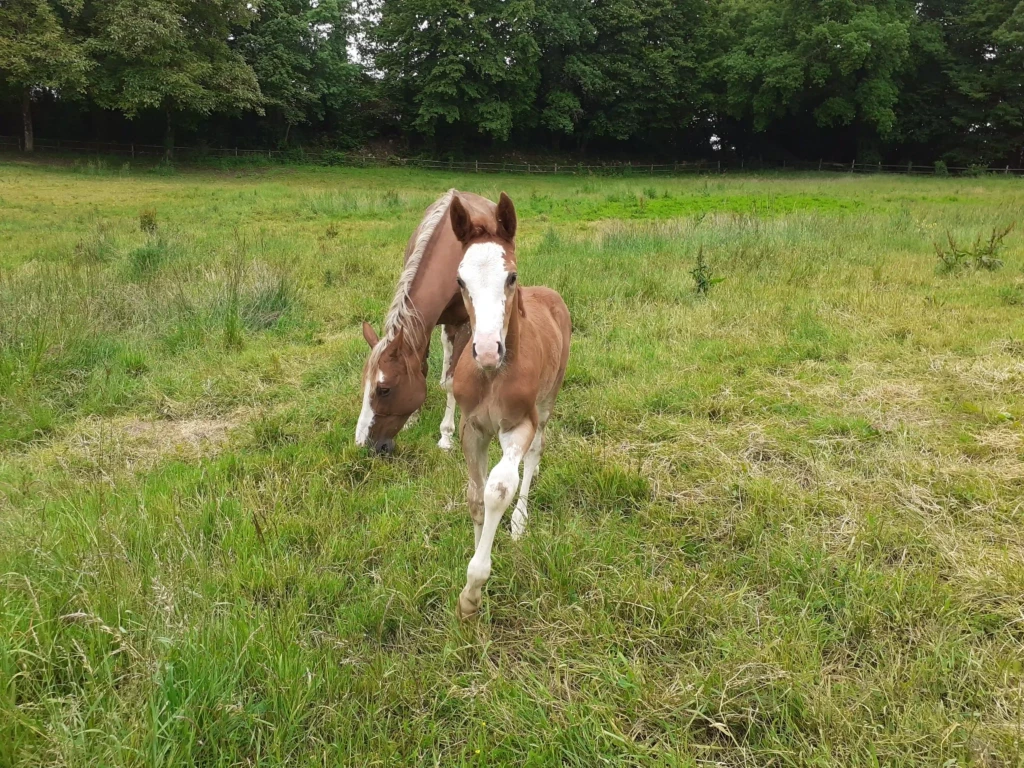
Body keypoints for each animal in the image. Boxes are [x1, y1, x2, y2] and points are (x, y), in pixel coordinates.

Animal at [355, 190, 502, 455]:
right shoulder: (422, 326)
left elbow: (453, 381)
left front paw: (446, 436)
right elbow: (422, 367)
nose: (363, 445)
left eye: (384, 390)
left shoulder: (465, 323)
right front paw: (412, 419)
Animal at [447, 192, 572, 619]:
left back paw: (519, 522)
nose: (487, 350)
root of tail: (550, 292)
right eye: (460, 280)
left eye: (511, 277)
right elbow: (475, 496)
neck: (492, 377)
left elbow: (498, 488)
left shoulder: (519, 424)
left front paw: (472, 588)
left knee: (533, 456)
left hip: (547, 403)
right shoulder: (472, 426)